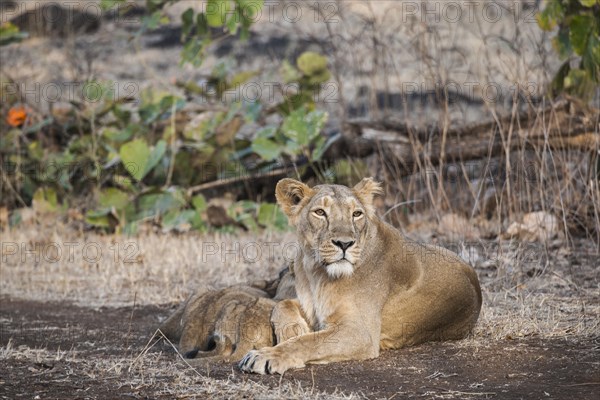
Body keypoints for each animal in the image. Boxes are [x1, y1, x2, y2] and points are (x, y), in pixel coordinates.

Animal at [239, 178, 482, 376]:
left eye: (356, 214)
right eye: (320, 212)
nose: (345, 243)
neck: (316, 272)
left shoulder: (360, 332)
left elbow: (309, 342)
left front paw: (267, 355)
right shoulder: (311, 307)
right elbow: (282, 305)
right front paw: (293, 331)